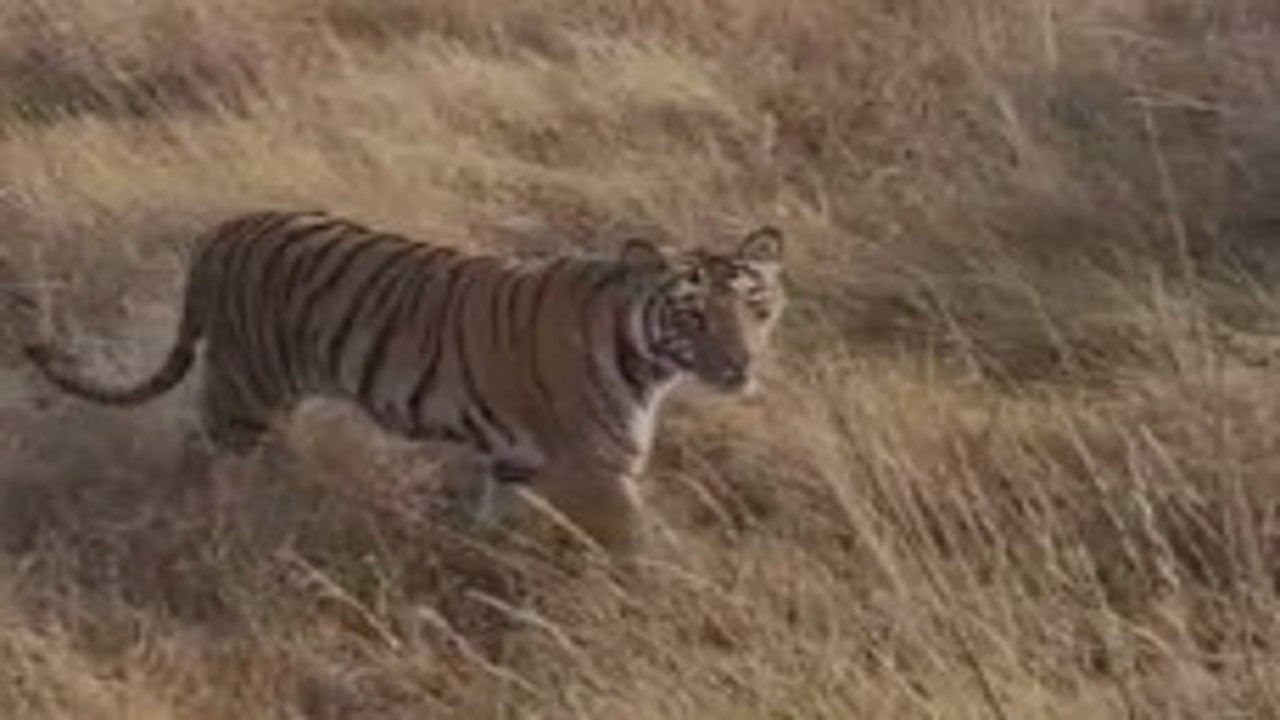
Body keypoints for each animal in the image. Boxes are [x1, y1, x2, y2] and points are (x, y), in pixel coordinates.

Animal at [24, 210, 783, 563]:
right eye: (694, 315)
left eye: (755, 307)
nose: (742, 367)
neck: (649, 361)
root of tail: (222, 230)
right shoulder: (597, 470)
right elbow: (641, 544)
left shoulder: (515, 462)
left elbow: (494, 523)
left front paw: (481, 568)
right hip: (243, 395)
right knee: (197, 456)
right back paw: (200, 523)